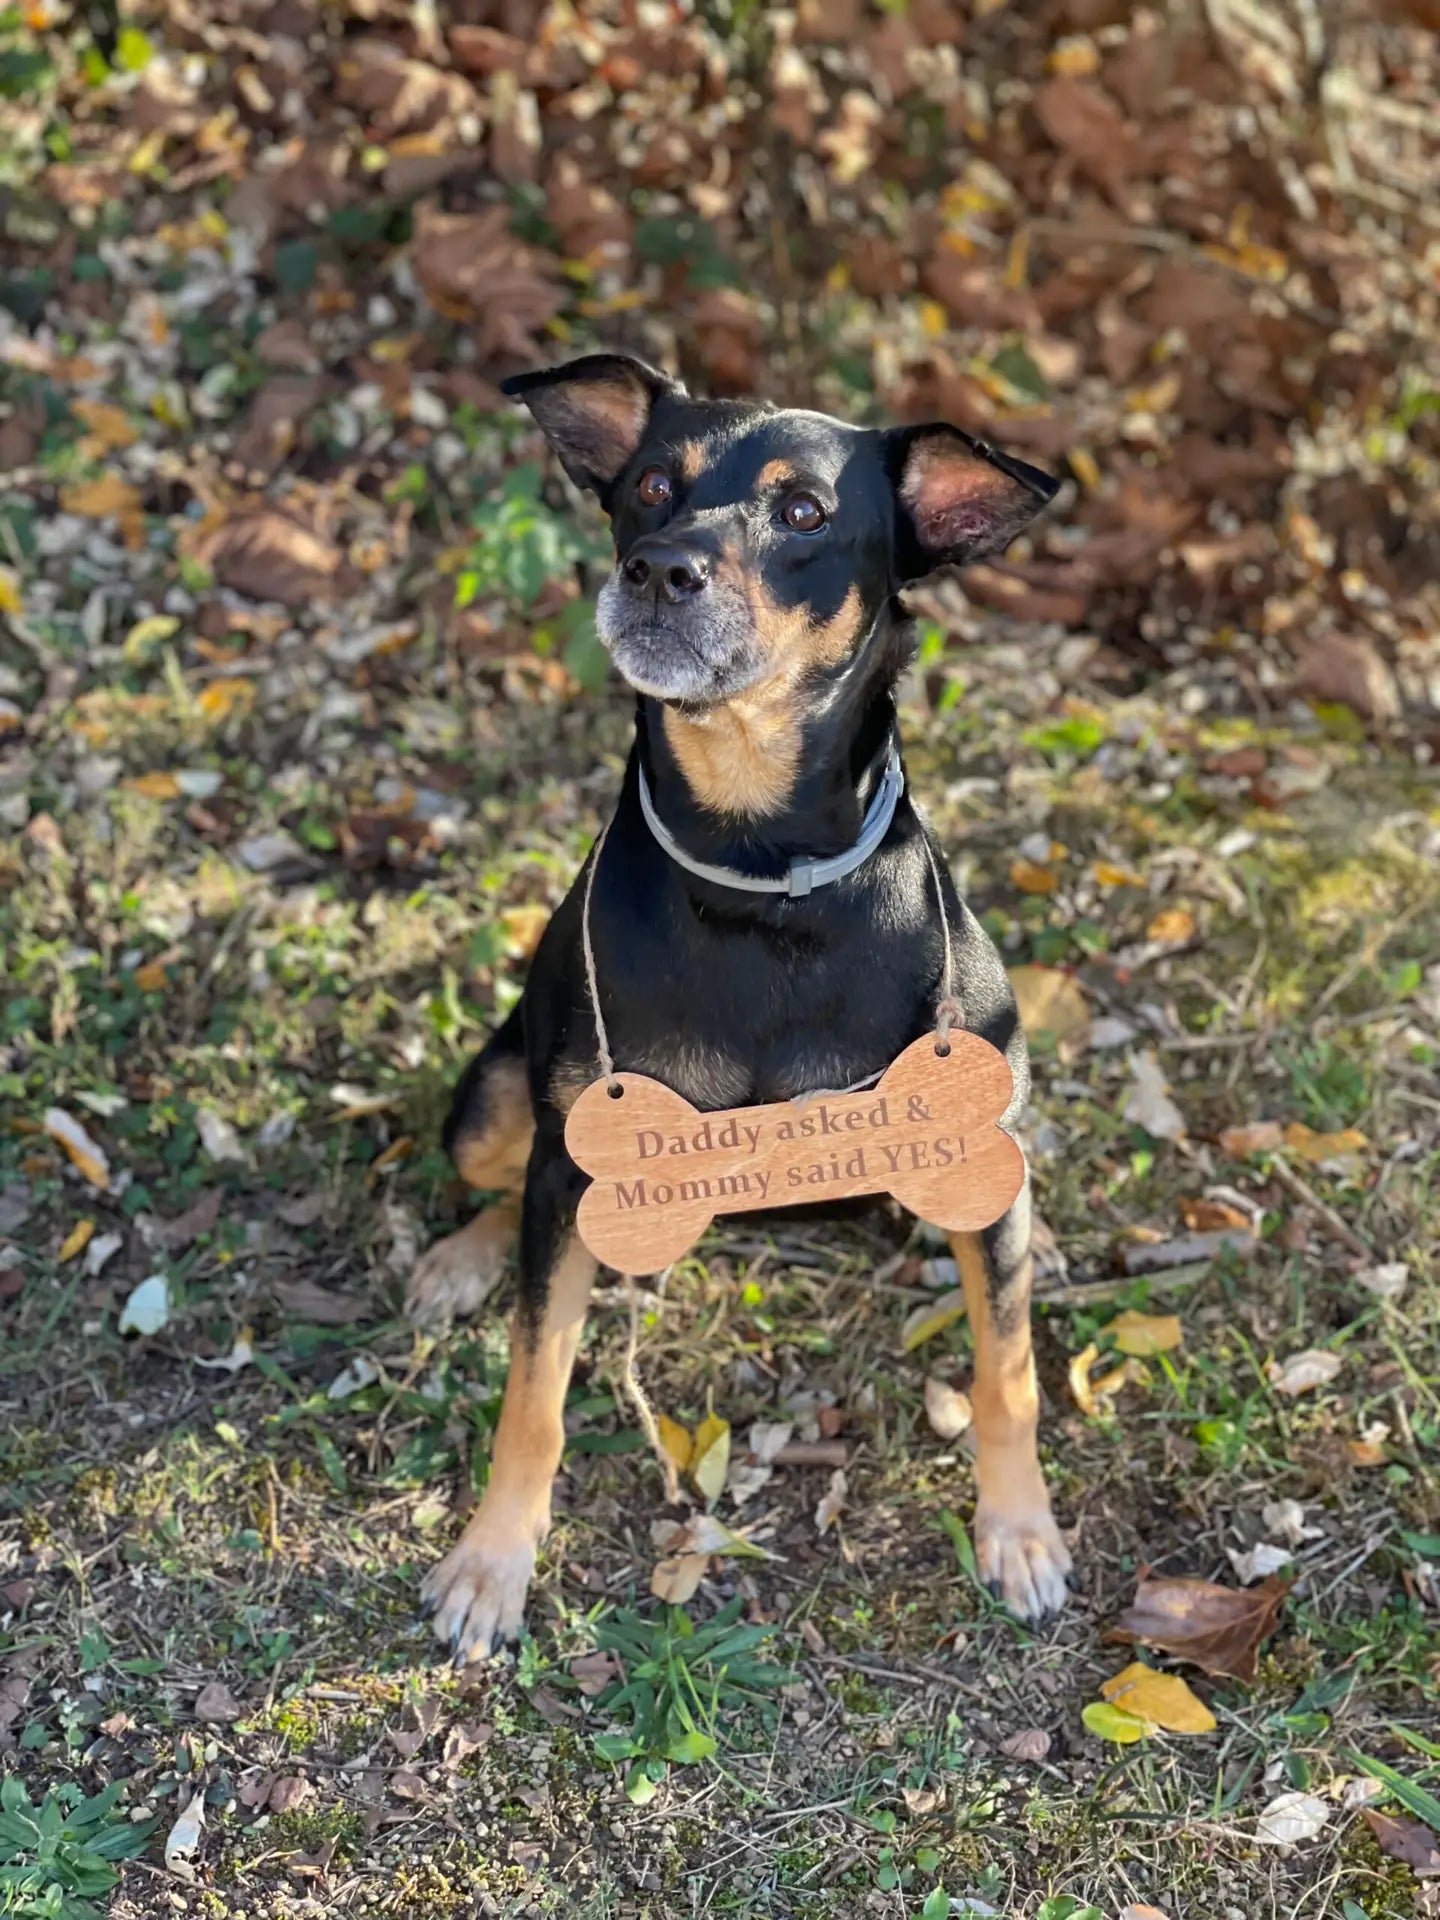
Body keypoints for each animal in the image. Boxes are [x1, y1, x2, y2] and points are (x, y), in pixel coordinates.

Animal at [408, 357, 1075, 1666]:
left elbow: (1008, 1369)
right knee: (511, 1189)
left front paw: (1019, 1531)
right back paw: (465, 1258)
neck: (759, 869)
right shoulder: (577, 1147)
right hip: (499, 1097)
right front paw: (493, 1562)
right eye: (649, 488)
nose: (660, 569)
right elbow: (534, 1385)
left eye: (804, 511)